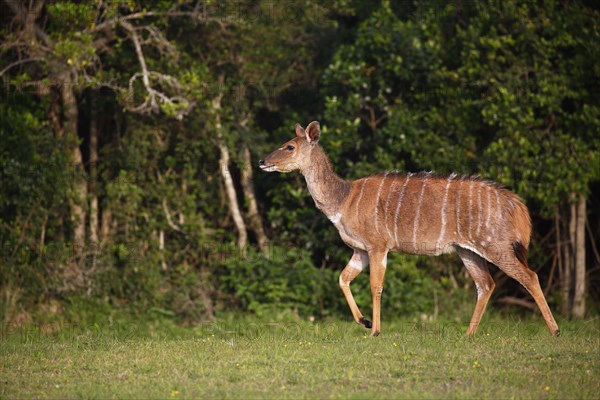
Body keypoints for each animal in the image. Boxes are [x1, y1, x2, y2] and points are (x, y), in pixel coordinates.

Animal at [260, 120, 560, 336]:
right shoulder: (360, 250)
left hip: (495, 245)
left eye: (289, 146)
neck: (343, 200)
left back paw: (555, 331)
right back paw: (468, 334)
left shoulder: (378, 245)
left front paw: (375, 331)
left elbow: (376, 285)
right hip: (467, 250)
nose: (263, 161)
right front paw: (364, 322)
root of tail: (518, 206)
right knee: (485, 284)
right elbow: (343, 278)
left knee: (529, 276)